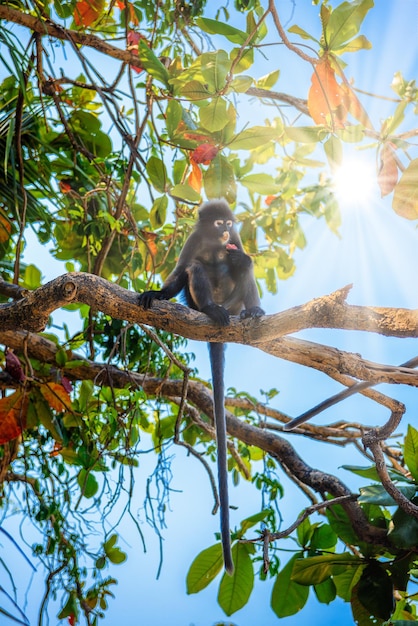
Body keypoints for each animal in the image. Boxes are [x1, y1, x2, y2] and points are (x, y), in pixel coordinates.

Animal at [140, 199, 264, 572]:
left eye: (229, 223)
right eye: (217, 223)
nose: (225, 231)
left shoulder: (235, 241)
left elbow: (243, 259)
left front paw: (240, 259)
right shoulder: (194, 239)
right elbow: (183, 268)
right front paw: (159, 293)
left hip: (236, 302)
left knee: (244, 271)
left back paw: (253, 312)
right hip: (203, 302)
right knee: (195, 269)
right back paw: (211, 309)